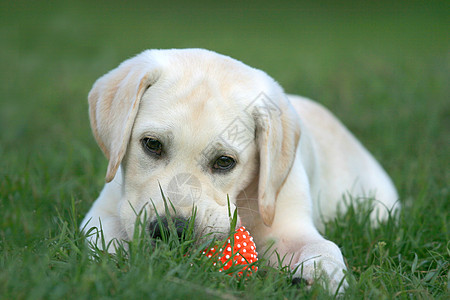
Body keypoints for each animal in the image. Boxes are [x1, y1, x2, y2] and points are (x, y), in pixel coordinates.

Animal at [81, 48, 398, 292]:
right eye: (152, 144)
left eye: (224, 162)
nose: (171, 231)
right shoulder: (104, 211)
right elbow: (105, 238)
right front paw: (117, 267)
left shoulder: (289, 225)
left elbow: (324, 247)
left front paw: (323, 277)